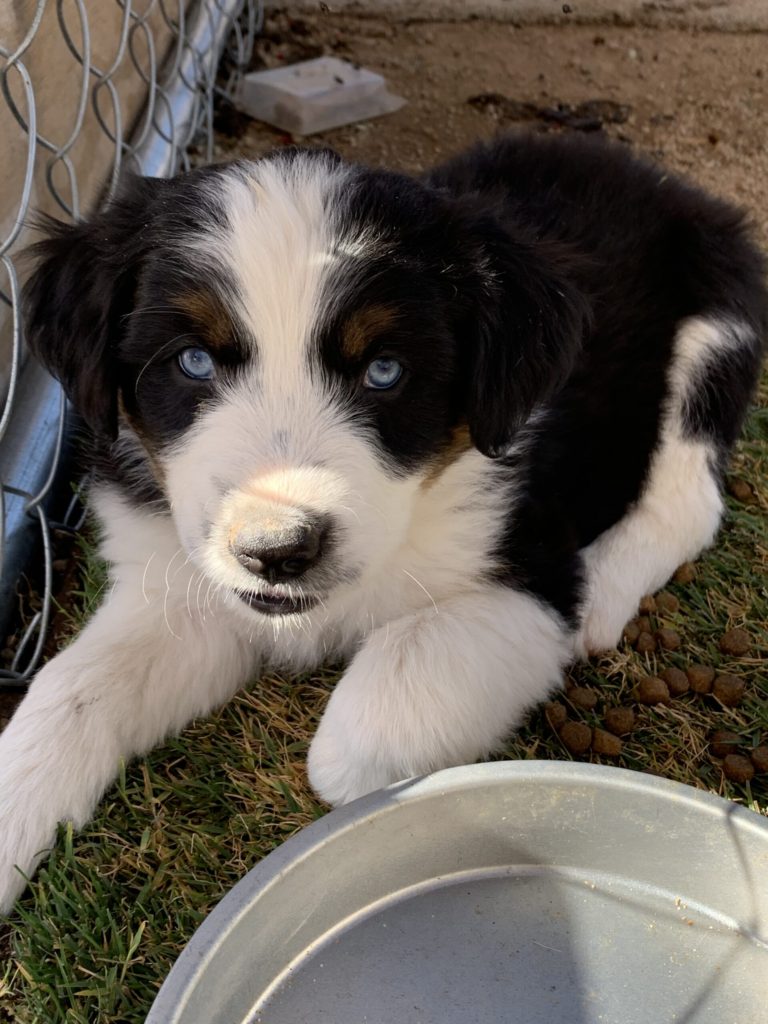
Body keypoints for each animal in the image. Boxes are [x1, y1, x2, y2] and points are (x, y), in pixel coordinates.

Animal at [0, 130, 765, 913]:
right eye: (191, 361)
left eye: (385, 372)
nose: (278, 552)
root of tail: (650, 174)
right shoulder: (179, 590)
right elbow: (73, 688)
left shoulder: (531, 573)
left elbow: (374, 708)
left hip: (714, 324)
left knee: (688, 497)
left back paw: (608, 592)